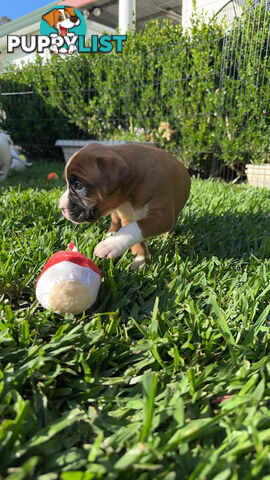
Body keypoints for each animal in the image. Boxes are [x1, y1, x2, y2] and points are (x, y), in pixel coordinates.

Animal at [59, 142, 190, 270]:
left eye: (78, 185)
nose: (61, 206)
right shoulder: (127, 217)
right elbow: (134, 238)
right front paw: (140, 259)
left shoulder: (163, 217)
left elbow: (135, 227)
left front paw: (111, 245)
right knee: (115, 220)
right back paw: (111, 233)